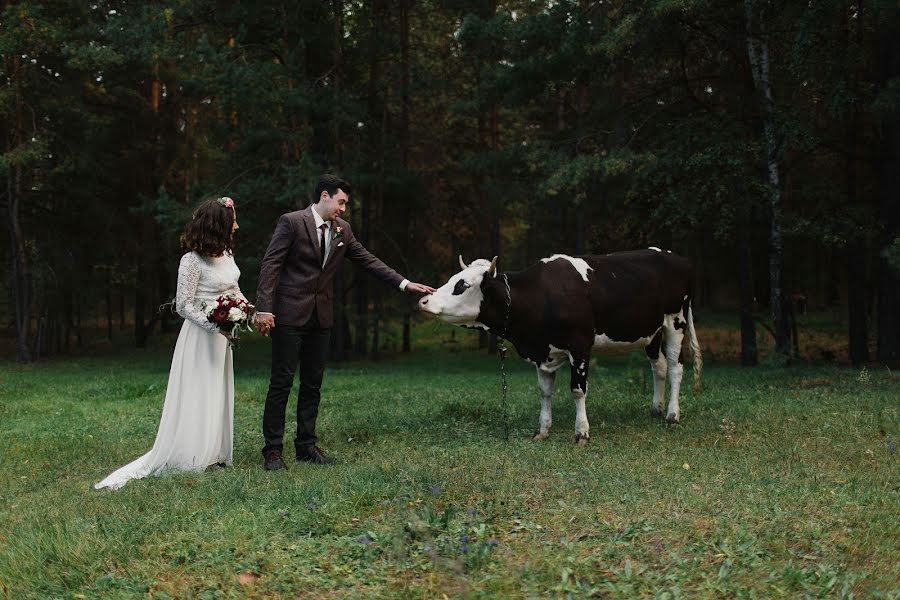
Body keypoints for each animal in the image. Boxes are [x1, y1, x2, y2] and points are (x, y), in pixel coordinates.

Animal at [416, 246, 704, 442]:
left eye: (461, 285)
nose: (423, 300)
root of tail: (679, 258)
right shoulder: (543, 352)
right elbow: (544, 392)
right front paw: (542, 430)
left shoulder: (580, 345)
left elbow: (578, 390)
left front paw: (581, 432)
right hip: (651, 333)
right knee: (660, 367)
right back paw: (656, 409)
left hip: (675, 322)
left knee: (676, 368)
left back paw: (672, 416)